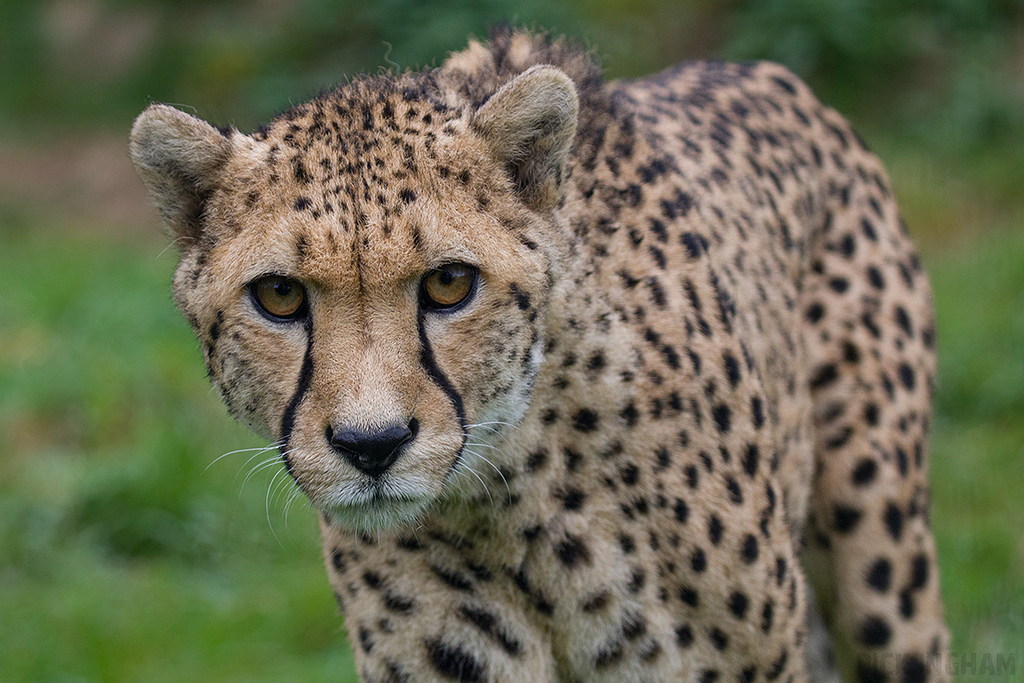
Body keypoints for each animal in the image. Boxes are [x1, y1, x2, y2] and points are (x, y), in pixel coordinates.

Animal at [130, 27, 950, 683]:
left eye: (450, 283)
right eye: (280, 296)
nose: (373, 446)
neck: (518, 490)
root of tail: (762, 73)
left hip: (885, 570)